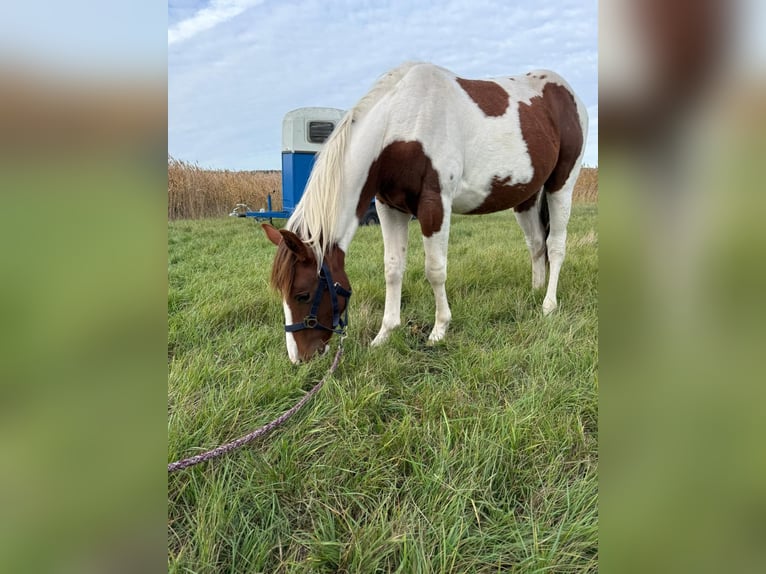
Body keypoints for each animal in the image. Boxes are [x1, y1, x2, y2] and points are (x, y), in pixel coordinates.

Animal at [263, 62, 588, 364]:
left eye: (302, 294)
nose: (299, 358)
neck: (401, 125)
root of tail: (569, 95)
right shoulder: (389, 207)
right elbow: (393, 269)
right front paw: (385, 334)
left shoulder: (435, 205)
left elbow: (435, 270)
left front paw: (439, 330)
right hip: (526, 197)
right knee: (536, 244)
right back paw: (535, 290)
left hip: (561, 185)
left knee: (555, 246)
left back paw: (548, 304)